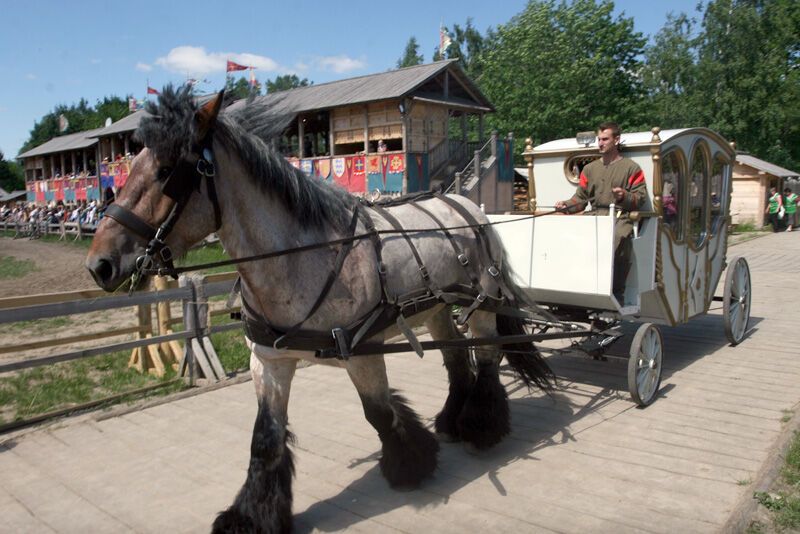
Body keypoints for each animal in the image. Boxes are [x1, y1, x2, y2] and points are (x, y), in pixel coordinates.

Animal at [84, 87, 552, 534]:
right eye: (129, 167)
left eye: (167, 172)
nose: (99, 264)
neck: (302, 257)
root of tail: (471, 207)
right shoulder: (269, 360)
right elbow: (266, 438)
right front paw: (251, 516)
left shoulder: (363, 354)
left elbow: (379, 412)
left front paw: (411, 464)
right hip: (436, 310)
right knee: (456, 358)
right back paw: (453, 419)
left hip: (481, 305)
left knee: (487, 357)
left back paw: (482, 426)